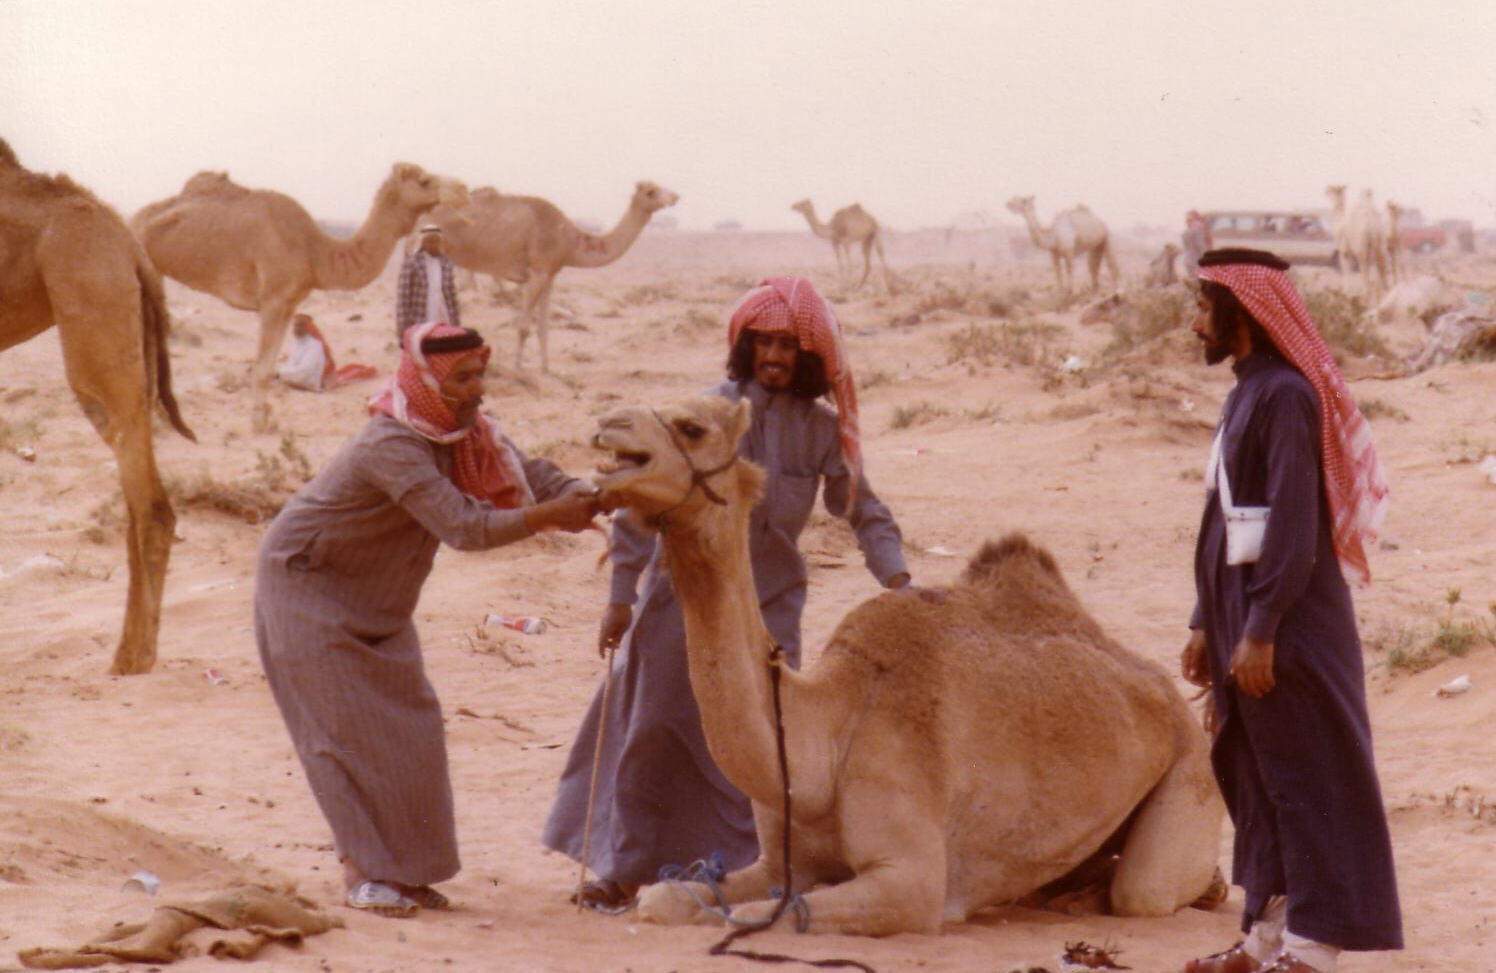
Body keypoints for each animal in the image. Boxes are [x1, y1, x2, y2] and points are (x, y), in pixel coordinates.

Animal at [133, 163, 466, 428]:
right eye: (424, 180)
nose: (462, 189)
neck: (314, 252)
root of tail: (134, 219)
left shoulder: (288, 305)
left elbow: (269, 367)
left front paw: (267, 418)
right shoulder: (272, 301)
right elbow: (262, 369)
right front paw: (258, 424)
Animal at [421, 178, 679, 371]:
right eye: (651, 191)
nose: (675, 196)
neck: (569, 239)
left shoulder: (550, 277)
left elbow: (543, 328)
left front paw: (546, 369)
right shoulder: (537, 272)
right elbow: (524, 326)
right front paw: (518, 369)